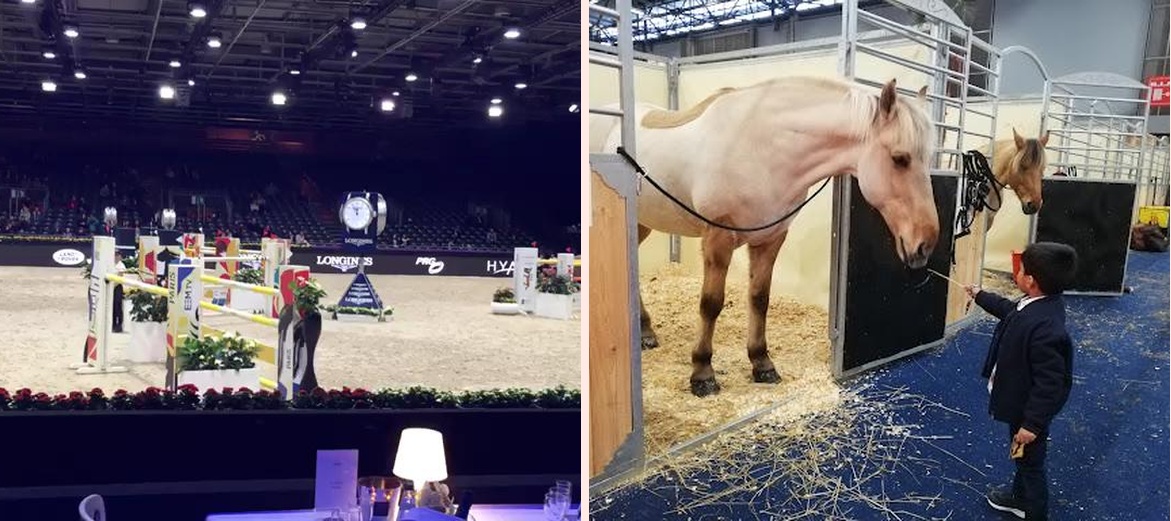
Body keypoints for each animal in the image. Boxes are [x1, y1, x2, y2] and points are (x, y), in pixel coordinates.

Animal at [589, 76, 941, 397]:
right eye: (900, 158)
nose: (925, 243)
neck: (762, 147)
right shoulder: (718, 239)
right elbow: (711, 304)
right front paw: (702, 372)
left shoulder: (771, 239)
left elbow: (759, 299)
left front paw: (761, 363)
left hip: (641, 222)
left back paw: (646, 332)